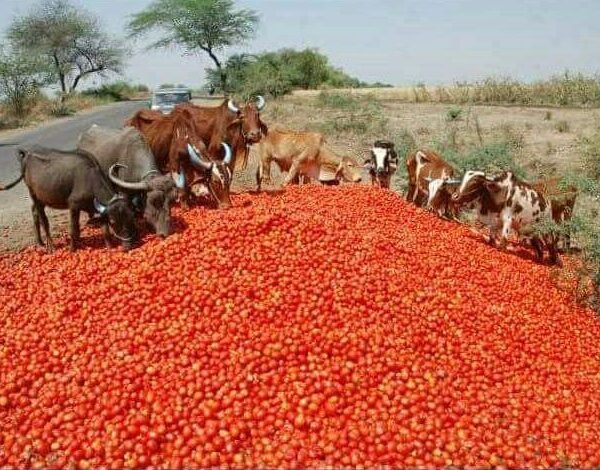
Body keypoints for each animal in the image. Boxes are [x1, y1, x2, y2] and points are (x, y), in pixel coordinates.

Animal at [0, 149, 137, 253]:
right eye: (113, 221)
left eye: (131, 217)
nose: (128, 245)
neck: (90, 180)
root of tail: (27, 154)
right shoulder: (73, 205)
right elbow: (73, 228)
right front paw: (72, 249)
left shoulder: (100, 209)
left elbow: (105, 230)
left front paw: (109, 246)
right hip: (33, 194)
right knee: (43, 220)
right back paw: (50, 246)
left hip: (41, 198)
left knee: (34, 213)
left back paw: (40, 242)